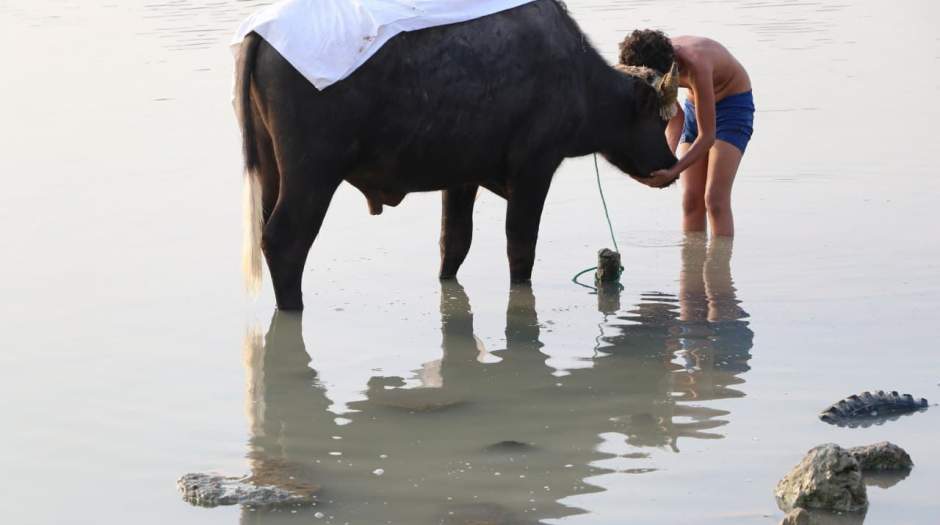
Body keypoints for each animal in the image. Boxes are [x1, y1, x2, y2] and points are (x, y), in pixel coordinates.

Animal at [233, 0, 676, 310]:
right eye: (656, 116)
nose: (670, 163)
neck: (579, 79)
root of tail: (261, 34)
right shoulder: (535, 169)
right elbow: (521, 246)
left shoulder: (463, 177)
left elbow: (454, 242)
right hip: (313, 173)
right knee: (285, 240)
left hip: (272, 171)